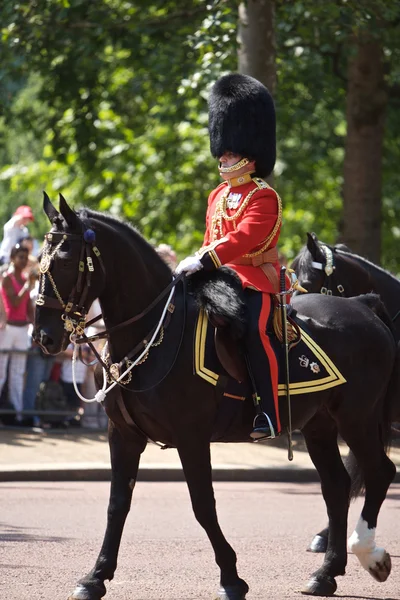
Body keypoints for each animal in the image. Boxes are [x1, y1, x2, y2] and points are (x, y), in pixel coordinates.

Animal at [33, 195, 396, 596]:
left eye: (66, 260)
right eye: (41, 261)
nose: (44, 337)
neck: (152, 333)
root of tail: (363, 305)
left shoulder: (191, 436)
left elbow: (203, 505)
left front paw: (232, 577)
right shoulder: (123, 435)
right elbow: (117, 505)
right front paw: (95, 577)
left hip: (357, 417)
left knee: (379, 471)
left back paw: (369, 554)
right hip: (320, 424)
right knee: (337, 485)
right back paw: (326, 572)